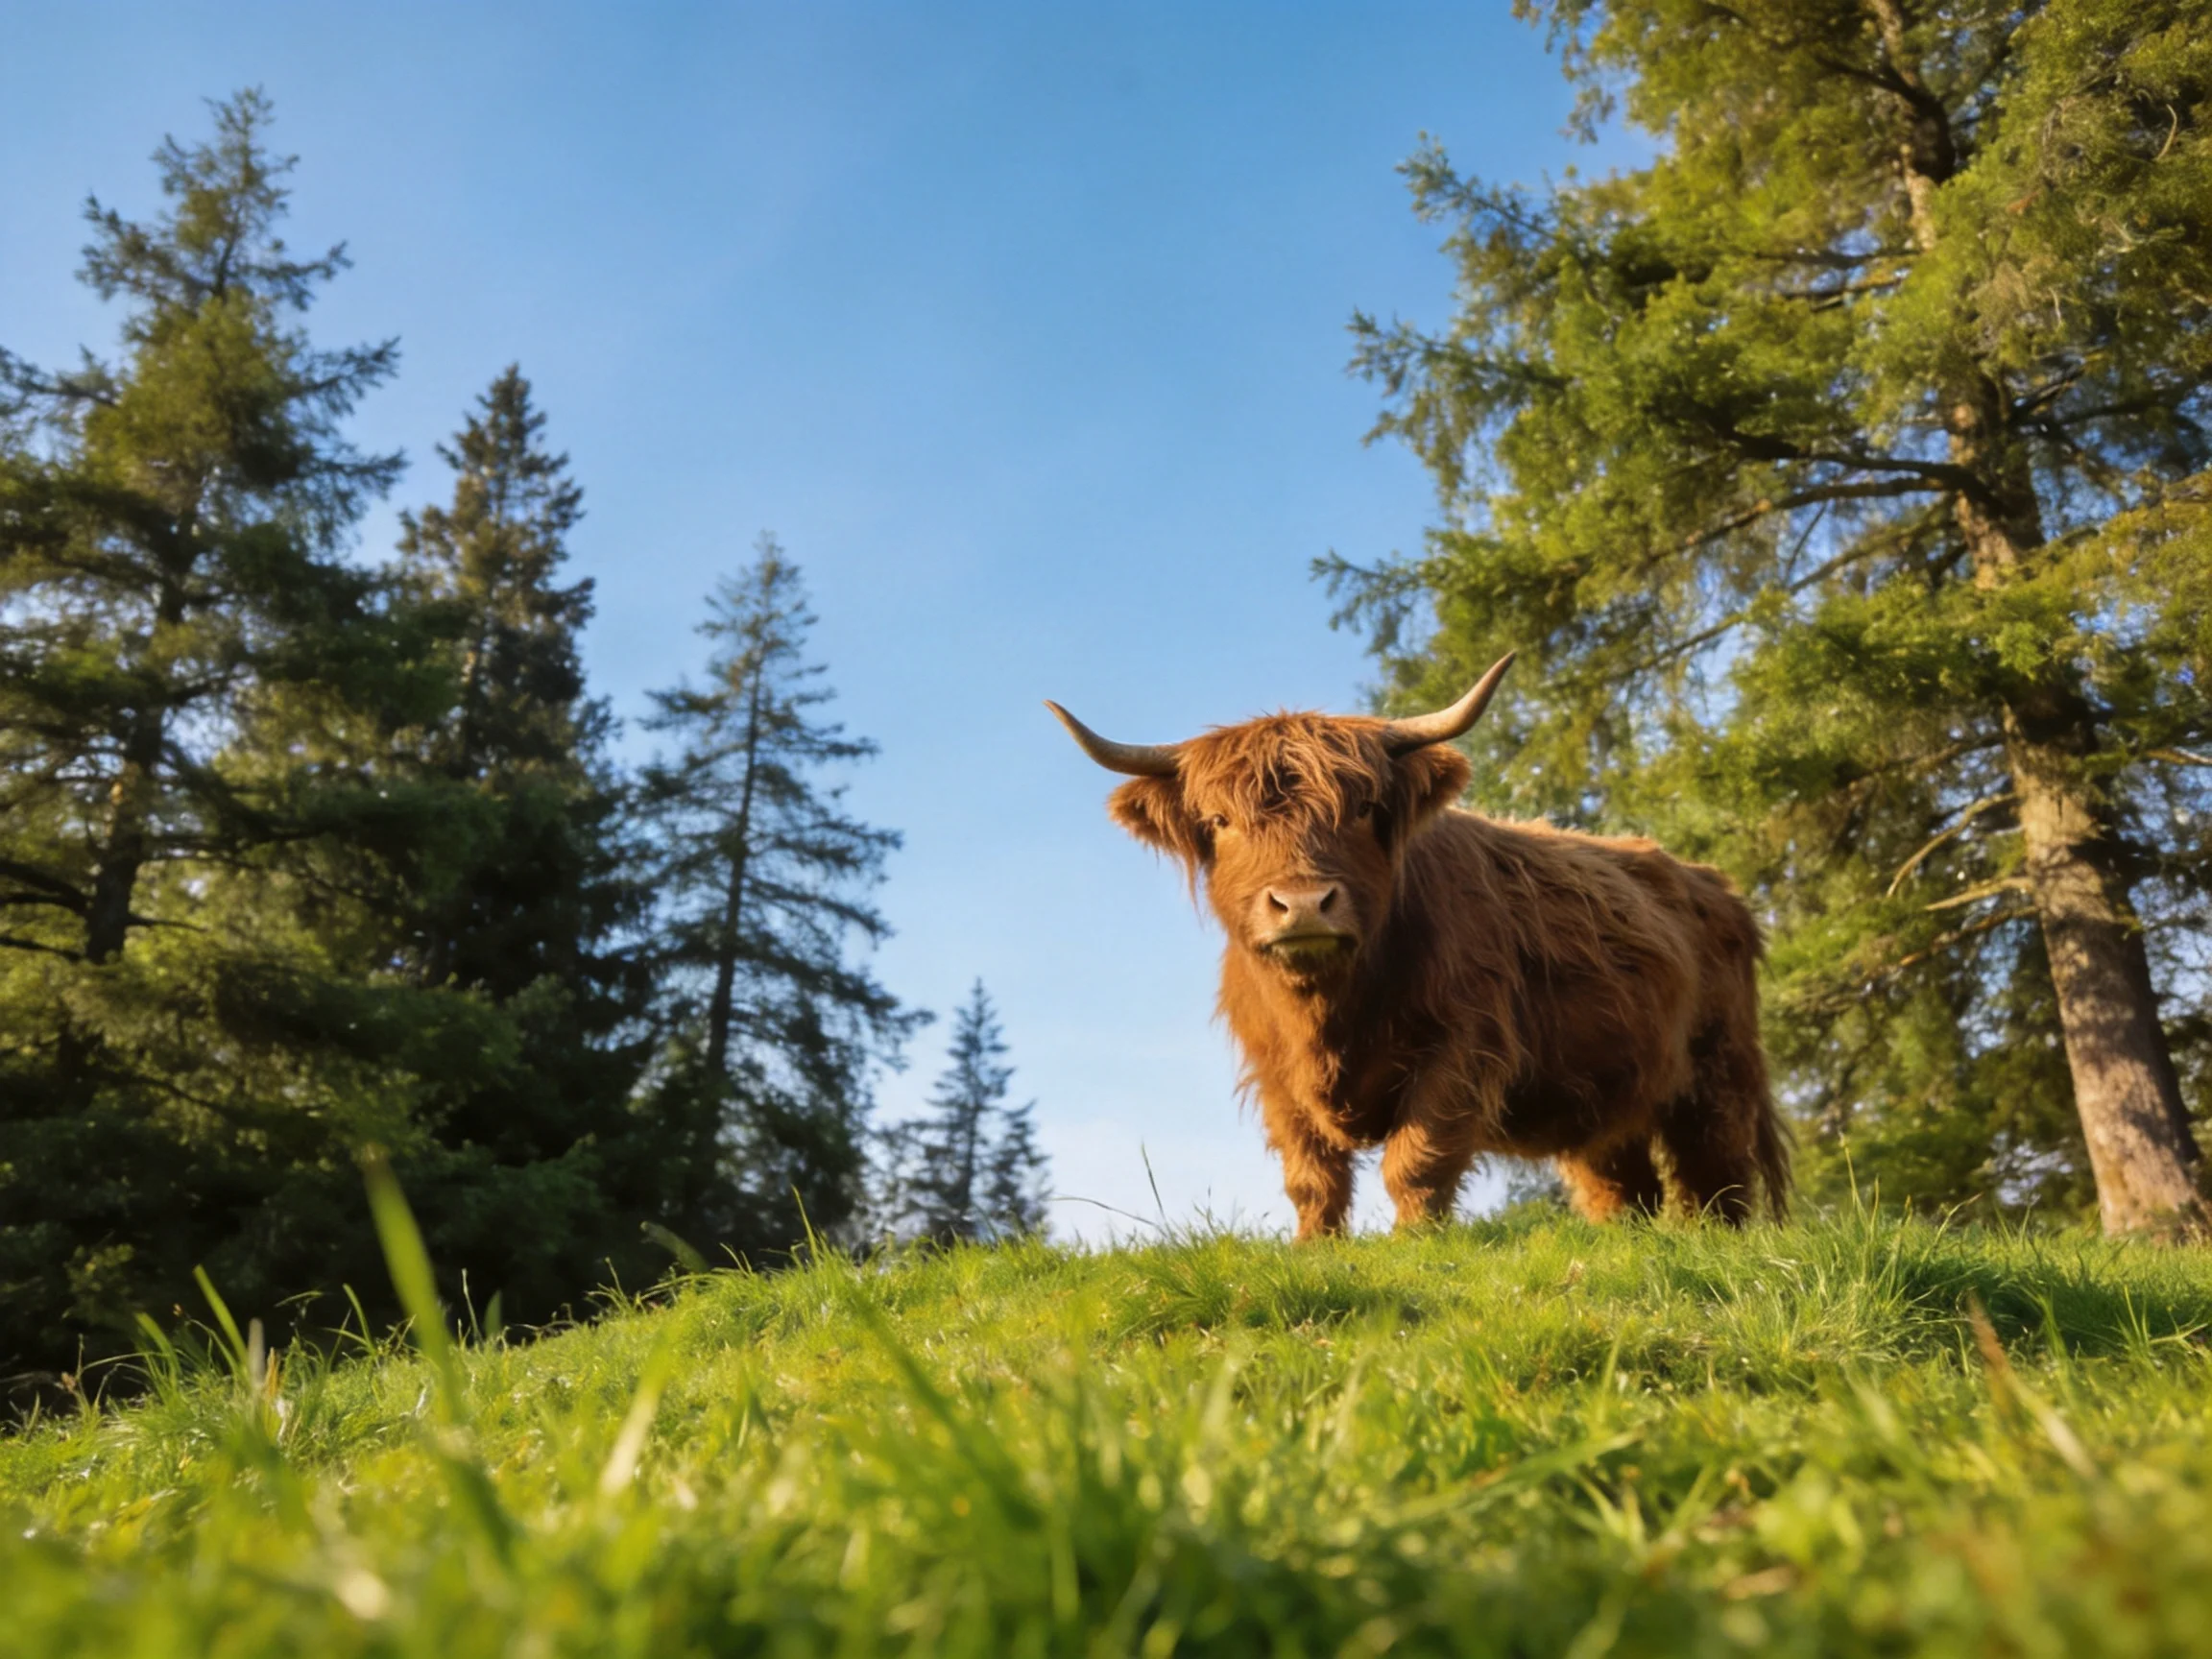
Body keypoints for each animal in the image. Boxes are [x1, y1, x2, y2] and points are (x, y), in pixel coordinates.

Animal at [1047, 655, 1789, 1238]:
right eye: (1220, 822)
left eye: (1363, 809)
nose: (1304, 904)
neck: (1331, 1013)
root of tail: (1712, 884)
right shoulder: (1274, 1074)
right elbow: (1312, 1176)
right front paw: (1316, 1248)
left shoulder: (1461, 1046)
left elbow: (1419, 1160)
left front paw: (1415, 1244)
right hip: (1605, 1096)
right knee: (1624, 1185)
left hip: (1718, 1074)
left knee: (1717, 1177)